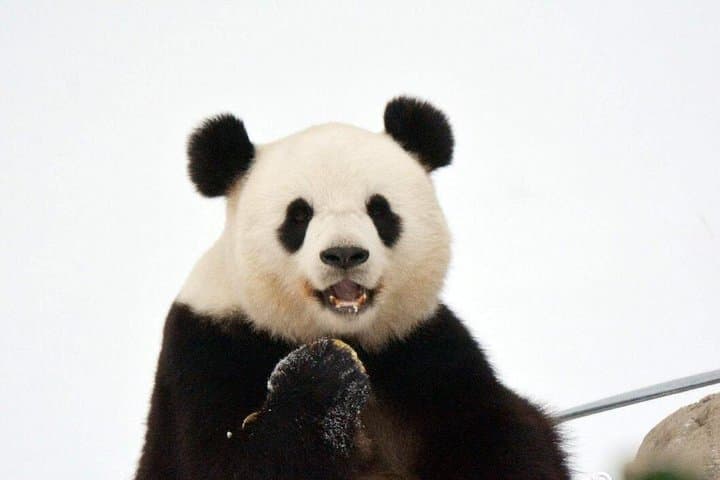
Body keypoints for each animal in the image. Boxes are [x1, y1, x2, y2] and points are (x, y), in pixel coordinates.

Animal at [135, 97, 570, 480]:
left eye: (379, 209)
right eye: (298, 215)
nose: (344, 254)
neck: (346, 334)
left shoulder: (425, 349)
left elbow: (509, 434)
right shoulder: (205, 350)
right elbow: (223, 461)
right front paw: (323, 378)